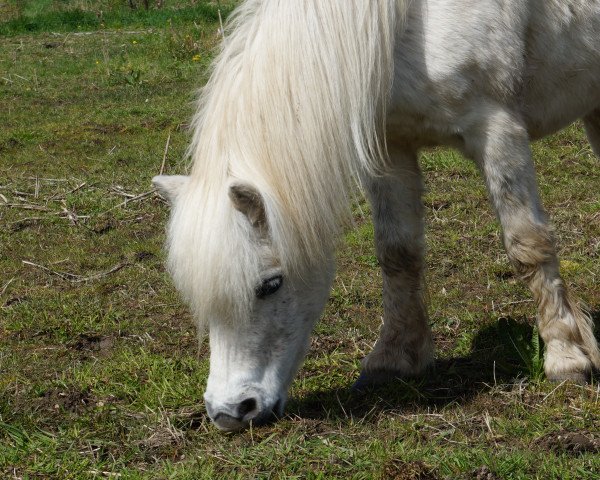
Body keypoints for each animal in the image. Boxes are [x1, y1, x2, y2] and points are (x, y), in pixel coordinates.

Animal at [154, 0, 600, 432]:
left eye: (271, 284)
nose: (229, 413)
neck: (407, 23)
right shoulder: (390, 146)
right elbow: (397, 253)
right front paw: (393, 359)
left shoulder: (497, 132)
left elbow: (527, 244)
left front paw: (566, 356)